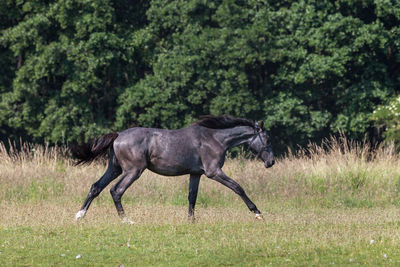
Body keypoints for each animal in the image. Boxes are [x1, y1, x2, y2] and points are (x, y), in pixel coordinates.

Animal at [72, 115, 276, 224]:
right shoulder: (214, 172)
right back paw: (127, 220)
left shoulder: (196, 174)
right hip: (133, 171)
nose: (271, 162)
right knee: (116, 191)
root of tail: (118, 135)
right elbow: (238, 188)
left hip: (114, 169)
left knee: (96, 187)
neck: (215, 139)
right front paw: (258, 213)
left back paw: (79, 215)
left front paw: (191, 221)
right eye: (267, 139)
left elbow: (192, 197)